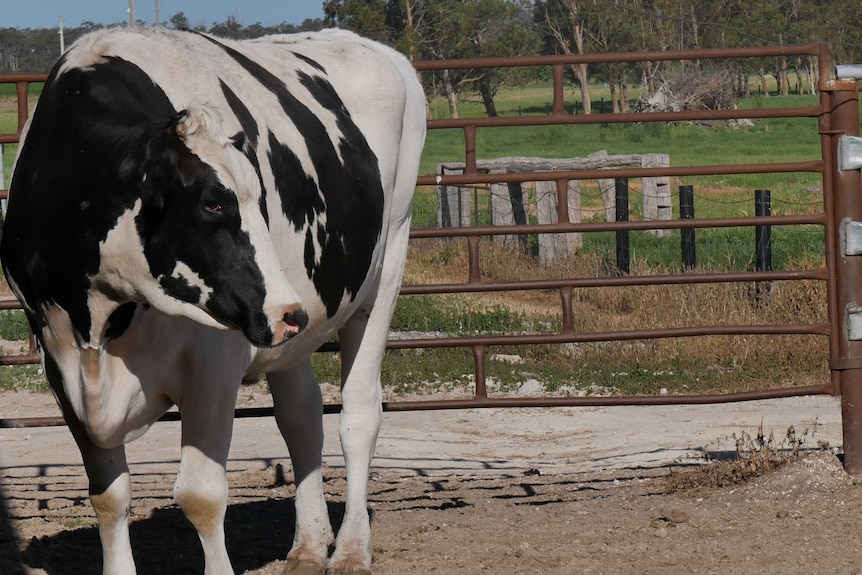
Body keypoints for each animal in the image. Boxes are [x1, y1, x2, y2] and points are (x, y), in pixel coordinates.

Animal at [0, 27, 426, 575]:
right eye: (213, 203)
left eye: (261, 199)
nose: (288, 312)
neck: (101, 323)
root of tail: (379, 50)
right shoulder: (61, 364)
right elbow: (109, 496)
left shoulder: (214, 363)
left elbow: (201, 495)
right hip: (293, 331)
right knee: (302, 417)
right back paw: (309, 546)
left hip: (385, 268)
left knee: (358, 415)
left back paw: (351, 548)